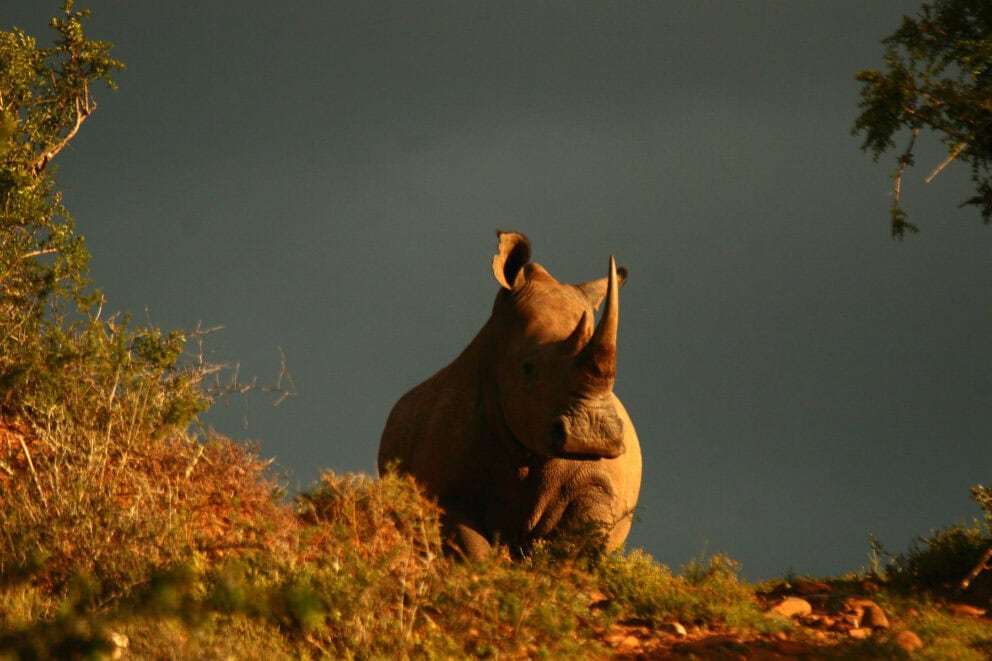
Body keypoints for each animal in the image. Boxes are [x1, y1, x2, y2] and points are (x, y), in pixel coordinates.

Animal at [378, 231, 642, 560]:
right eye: (528, 368)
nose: (591, 437)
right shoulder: (449, 492)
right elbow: (473, 552)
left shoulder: (598, 486)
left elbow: (578, 545)